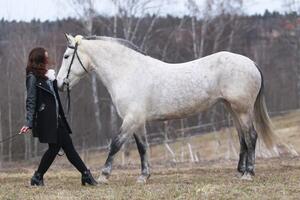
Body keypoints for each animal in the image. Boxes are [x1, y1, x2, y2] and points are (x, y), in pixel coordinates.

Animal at [56, 33, 276, 182]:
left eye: (66, 56)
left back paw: (248, 173)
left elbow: (116, 144)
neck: (128, 72)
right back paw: (241, 170)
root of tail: (251, 63)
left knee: (251, 136)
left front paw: (103, 175)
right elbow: (142, 147)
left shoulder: (131, 118)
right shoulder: (138, 121)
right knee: (242, 138)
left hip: (242, 110)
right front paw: (144, 176)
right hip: (233, 109)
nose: (58, 84)